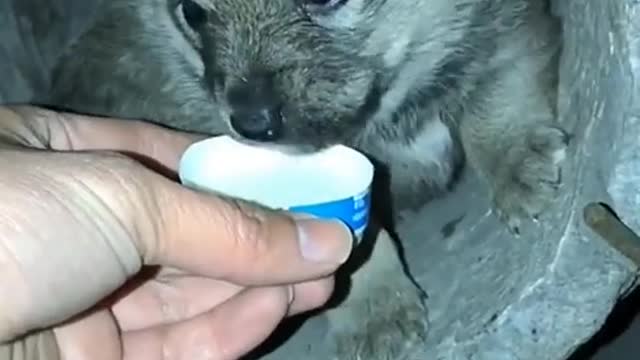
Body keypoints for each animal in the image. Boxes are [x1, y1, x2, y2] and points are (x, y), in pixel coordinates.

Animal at [47, 1, 568, 358]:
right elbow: (356, 251)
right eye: (192, 12)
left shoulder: (502, 33)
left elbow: (494, 101)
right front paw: (374, 311)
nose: (250, 122)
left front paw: (517, 160)